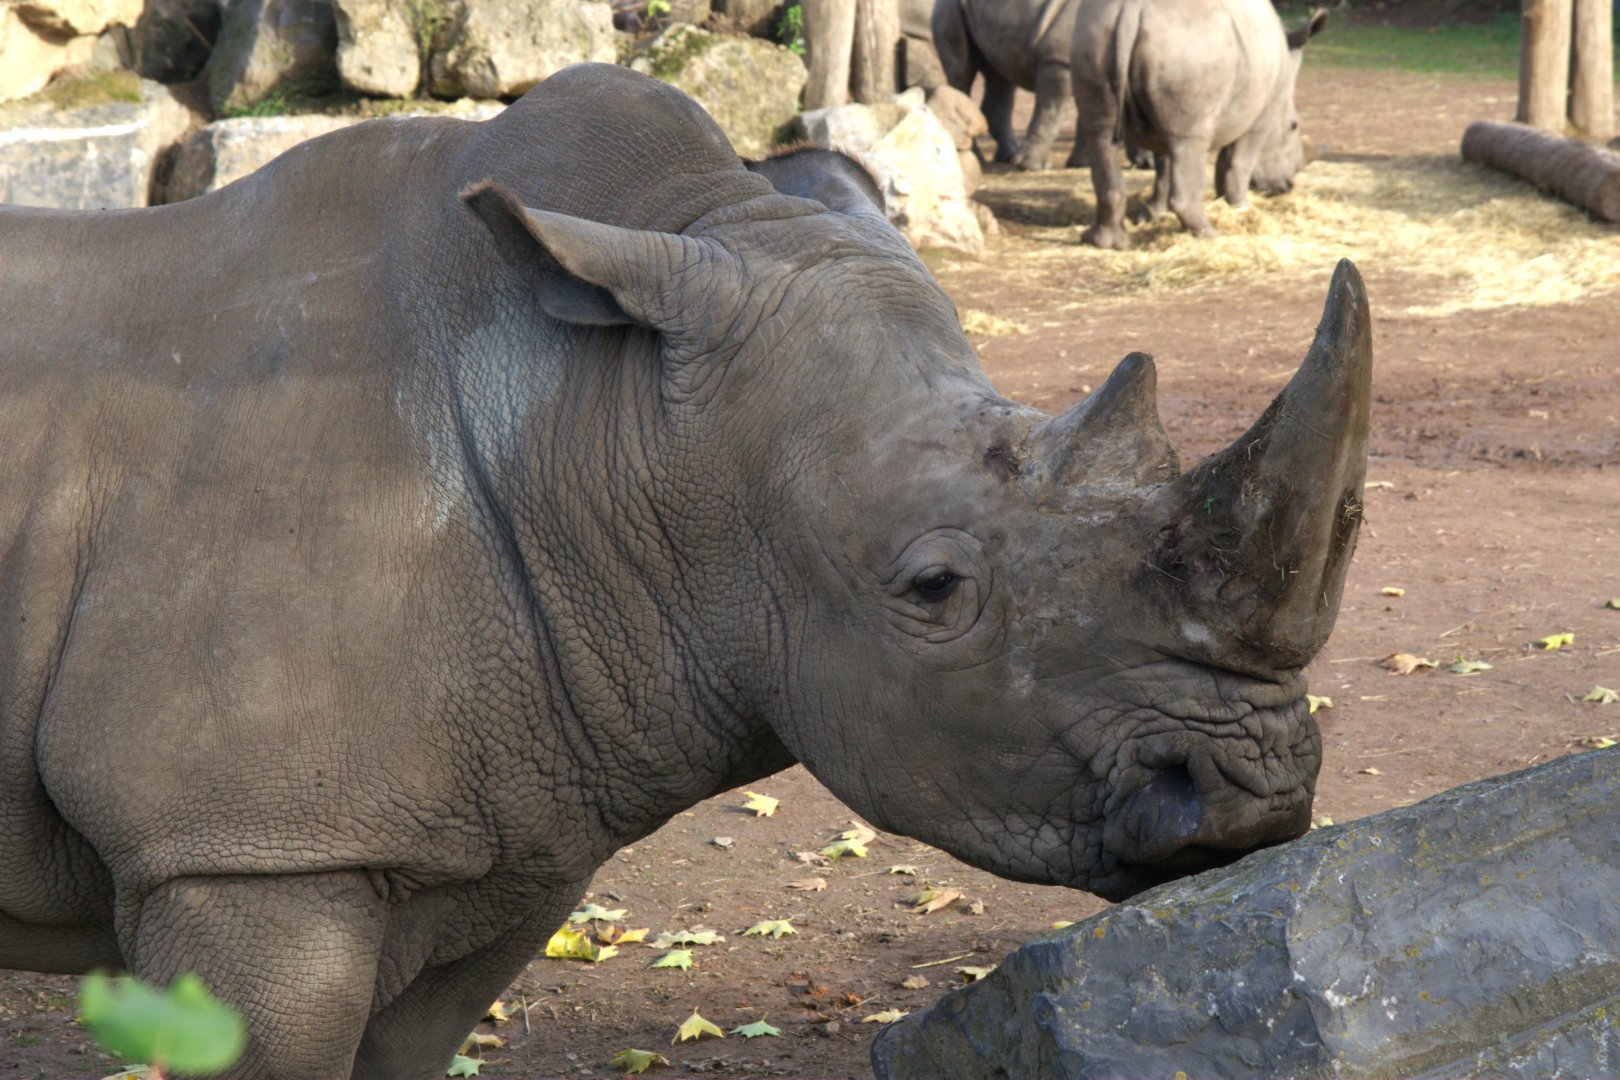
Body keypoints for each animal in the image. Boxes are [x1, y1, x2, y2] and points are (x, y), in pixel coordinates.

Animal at [1072, 0, 1328, 248]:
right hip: (1190, 48)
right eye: (1294, 126)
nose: (1286, 187)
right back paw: (1210, 235)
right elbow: (1239, 163)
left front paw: (1156, 214)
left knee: (1100, 134)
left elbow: (1167, 165)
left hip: (1097, 37)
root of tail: (1132, 9)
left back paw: (1107, 242)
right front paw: (1242, 212)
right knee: (1190, 141)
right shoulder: (1263, 111)